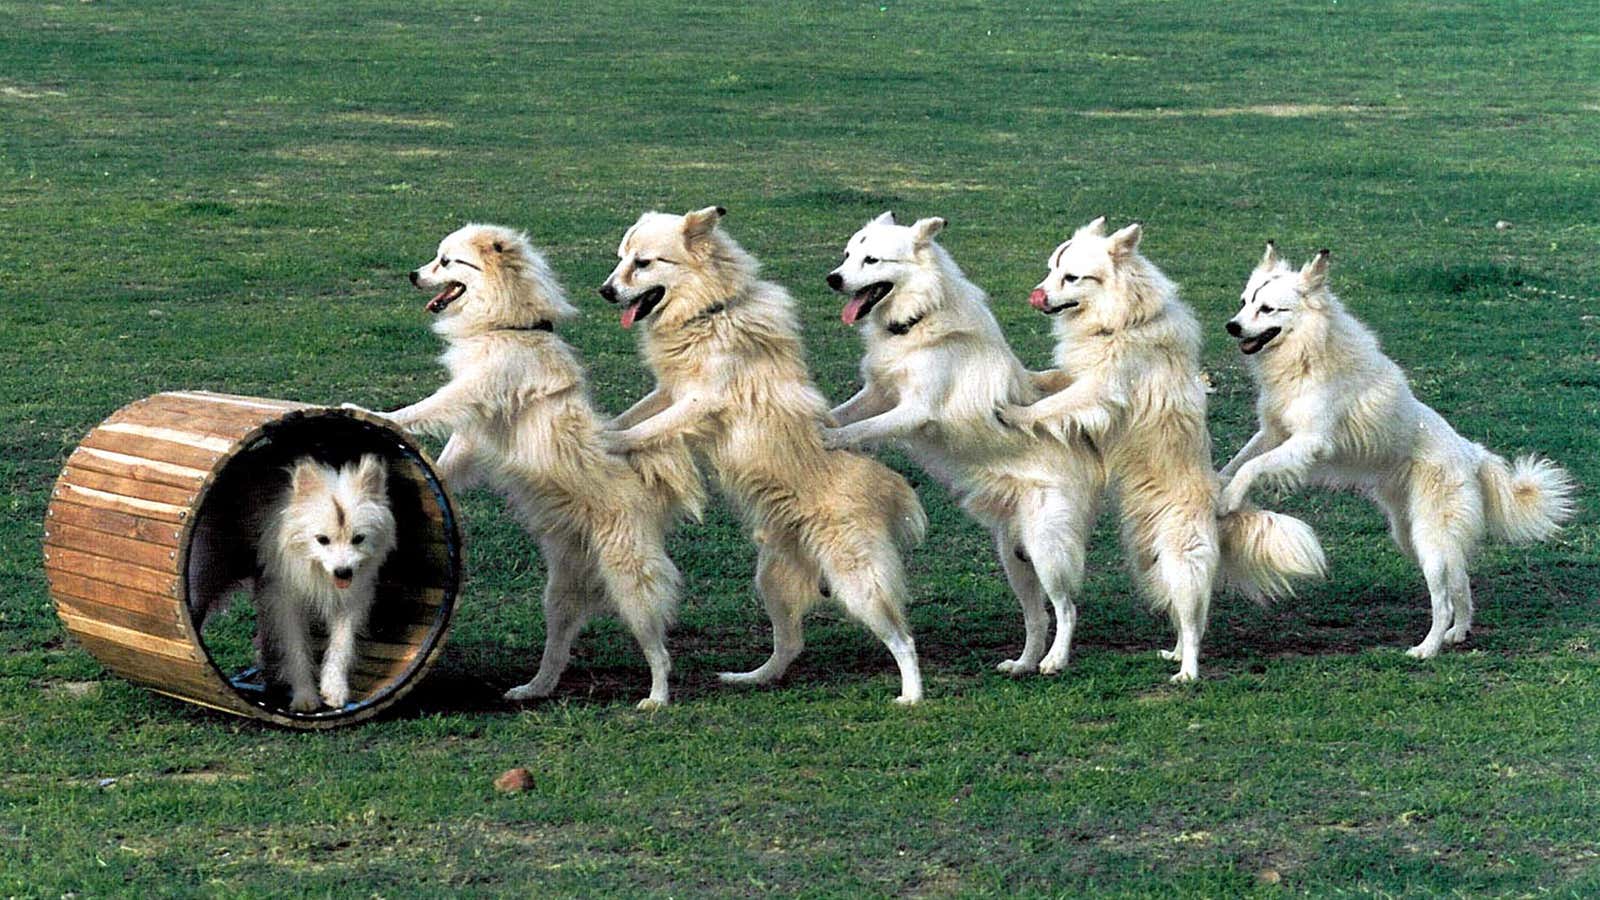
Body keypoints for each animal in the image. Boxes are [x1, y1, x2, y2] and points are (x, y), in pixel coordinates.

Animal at [598, 206, 928, 704]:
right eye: (622, 259)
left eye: (644, 263)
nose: (604, 291)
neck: (709, 310)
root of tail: (886, 489)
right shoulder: (669, 391)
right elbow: (633, 416)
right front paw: (601, 428)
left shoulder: (700, 400)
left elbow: (645, 429)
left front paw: (608, 444)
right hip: (772, 577)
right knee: (789, 643)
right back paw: (752, 677)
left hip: (858, 582)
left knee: (903, 639)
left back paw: (912, 695)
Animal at [1222, 241, 1574, 656]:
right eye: (1244, 302)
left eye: (1267, 309)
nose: (1231, 326)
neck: (1307, 352)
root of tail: (1470, 451)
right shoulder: (1273, 431)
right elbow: (1240, 460)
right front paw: (1217, 485)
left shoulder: (1309, 443)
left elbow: (1254, 467)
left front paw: (1228, 499)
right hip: (1414, 537)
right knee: (1460, 582)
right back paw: (1459, 632)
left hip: (1429, 538)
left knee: (1442, 599)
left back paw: (1428, 648)